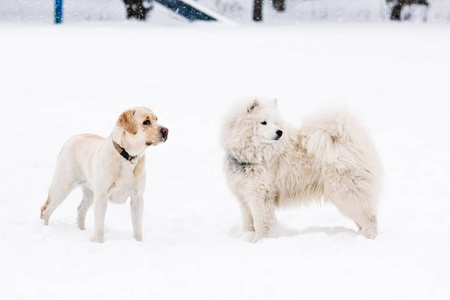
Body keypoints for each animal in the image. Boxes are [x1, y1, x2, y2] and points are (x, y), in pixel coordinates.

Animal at [40, 106, 167, 243]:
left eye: (156, 119)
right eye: (146, 121)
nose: (166, 130)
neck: (127, 157)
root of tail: (72, 138)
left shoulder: (137, 198)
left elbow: (137, 226)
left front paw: (138, 242)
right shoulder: (102, 196)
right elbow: (100, 226)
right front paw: (98, 242)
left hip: (89, 193)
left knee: (80, 210)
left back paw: (82, 231)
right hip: (62, 187)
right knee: (45, 210)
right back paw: (45, 228)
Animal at [220, 98, 382, 241]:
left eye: (275, 122)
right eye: (263, 122)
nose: (279, 132)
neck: (253, 157)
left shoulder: (260, 197)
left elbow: (262, 224)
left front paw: (259, 242)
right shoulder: (244, 198)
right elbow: (248, 225)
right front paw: (247, 238)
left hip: (347, 194)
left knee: (369, 219)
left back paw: (370, 239)